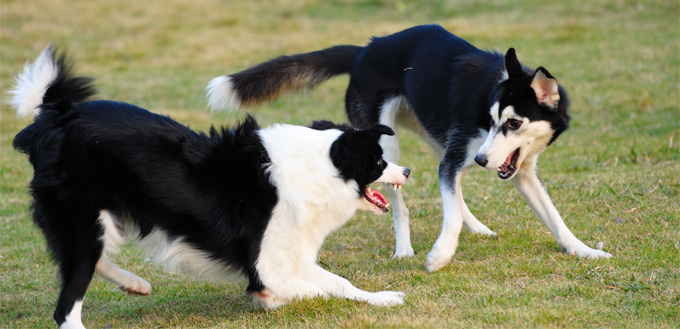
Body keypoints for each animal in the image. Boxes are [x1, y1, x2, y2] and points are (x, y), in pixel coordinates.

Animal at [11, 46, 410, 328]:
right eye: (378, 161)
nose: (406, 170)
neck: (319, 166)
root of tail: (54, 118)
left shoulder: (292, 254)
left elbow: (340, 284)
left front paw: (384, 298)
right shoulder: (267, 267)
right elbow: (315, 292)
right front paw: (272, 301)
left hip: (101, 220)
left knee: (92, 262)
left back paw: (133, 283)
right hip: (82, 221)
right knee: (67, 305)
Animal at [206, 23, 612, 272]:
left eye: (513, 123)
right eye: (492, 118)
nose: (482, 160)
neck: (491, 88)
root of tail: (365, 49)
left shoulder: (520, 170)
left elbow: (555, 218)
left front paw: (584, 250)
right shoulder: (459, 156)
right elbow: (448, 212)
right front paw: (440, 256)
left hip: (434, 135)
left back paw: (476, 226)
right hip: (387, 146)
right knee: (400, 202)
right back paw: (405, 249)